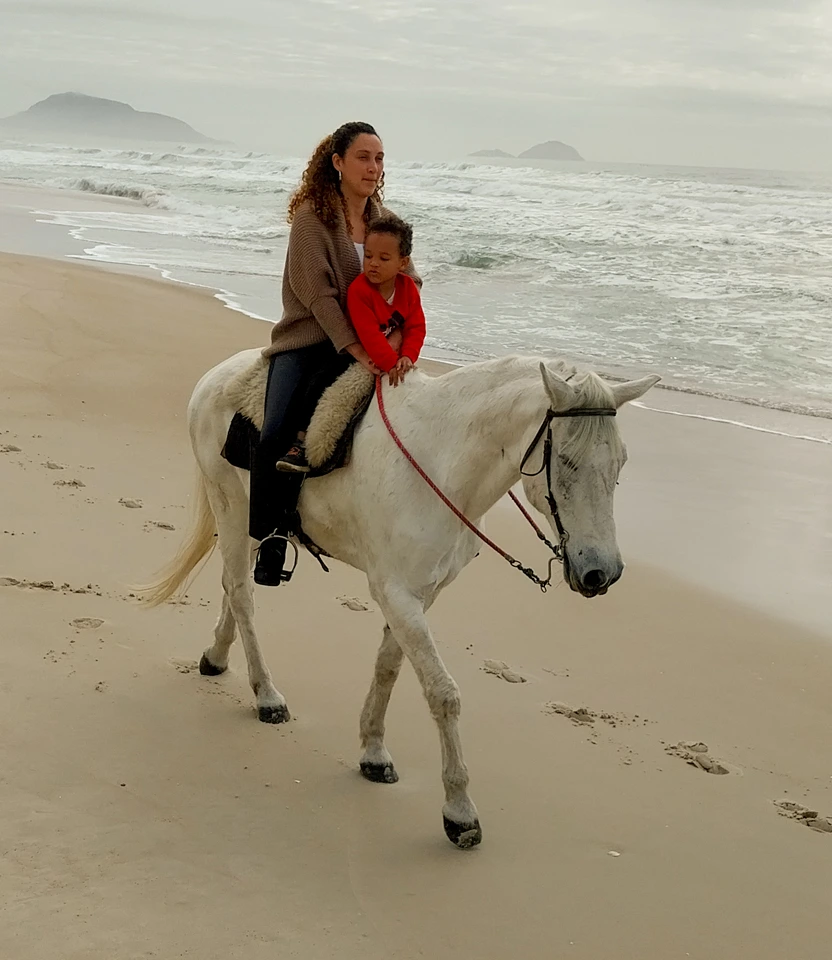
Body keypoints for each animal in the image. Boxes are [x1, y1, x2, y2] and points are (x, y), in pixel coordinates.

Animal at [137, 350, 659, 848]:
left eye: (620, 464)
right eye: (565, 462)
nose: (602, 572)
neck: (443, 461)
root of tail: (217, 373)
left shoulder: (418, 596)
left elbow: (389, 667)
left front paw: (372, 752)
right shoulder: (396, 592)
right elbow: (443, 693)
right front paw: (459, 811)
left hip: (251, 519)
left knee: (233, 584)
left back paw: (216, 656)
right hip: (228, 502)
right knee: (242, 593)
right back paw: (266, 695)